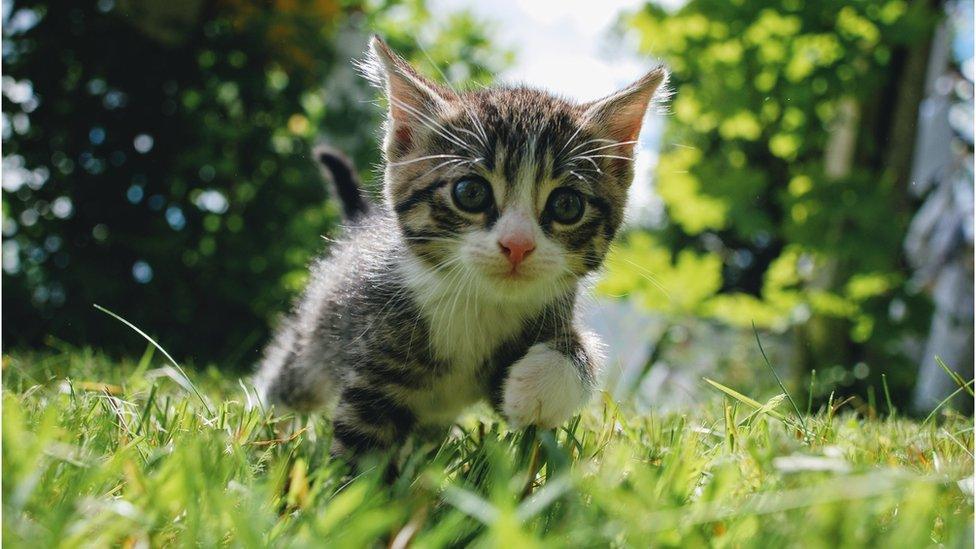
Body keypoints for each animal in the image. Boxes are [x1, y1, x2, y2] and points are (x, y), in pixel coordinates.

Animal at [252, 38, 668, 456]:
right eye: (470, 193)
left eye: (567, 205)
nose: (517, 245)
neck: (481, 303)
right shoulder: (376, 357)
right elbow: (363, 440)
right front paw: (357, 474)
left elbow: (571, 360)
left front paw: (542, 386)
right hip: (318, 339)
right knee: (289, 380)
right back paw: (263, 423)